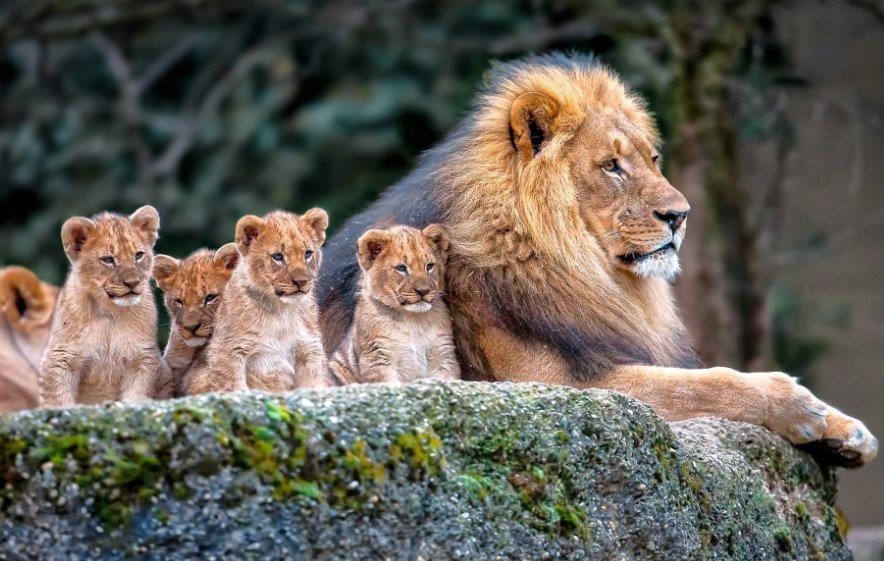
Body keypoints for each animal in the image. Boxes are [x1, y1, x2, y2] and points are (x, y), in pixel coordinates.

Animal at [40, 206, 165, 407]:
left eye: (138, 255)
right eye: (108, 259)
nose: (132, 283)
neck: (109, 311)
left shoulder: (142, 356)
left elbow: (136, 395)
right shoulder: (61, 357)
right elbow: (58, 399)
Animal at [188, 209, 329, 395]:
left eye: (307, 253)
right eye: (278, 256)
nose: (301, 282)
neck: (282, 311)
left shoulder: (309, 350)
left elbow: (315, 384)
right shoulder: (227, 351)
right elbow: (234, 386)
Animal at [328, 224, 460, 385]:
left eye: (429, 266)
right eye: (401, 268)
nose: (423, 291)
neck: (413, 320)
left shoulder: (444, 355)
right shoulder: (378, 358)